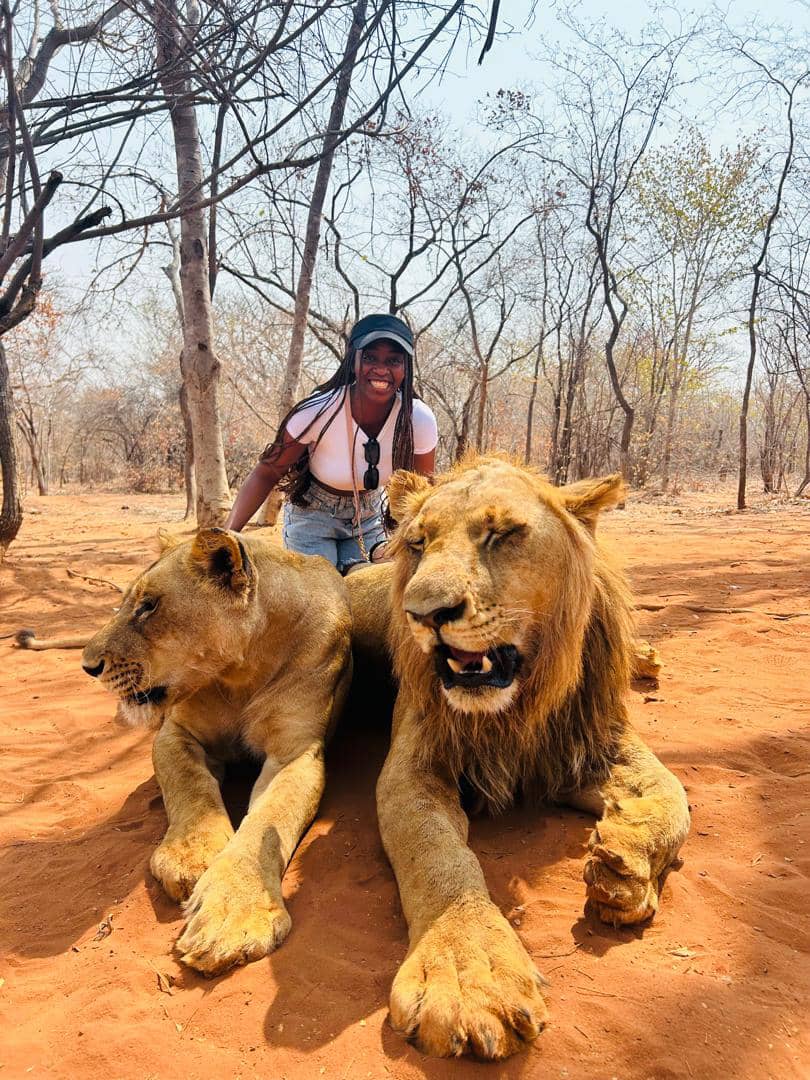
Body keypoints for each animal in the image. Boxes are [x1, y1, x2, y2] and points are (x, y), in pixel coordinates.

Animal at [80, 527, 352, 976]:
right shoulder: (176, 733)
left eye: (148, 606)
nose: (87, 667)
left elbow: (268, 822)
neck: (242, 672)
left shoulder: (296, 754)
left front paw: (234, 915)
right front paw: (191, 857)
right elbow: (191, 787)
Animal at [346, 456, 690, 1061]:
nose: (423, 612)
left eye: (503, 534)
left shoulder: (596, 740)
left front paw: (623, 866)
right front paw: (468, 972)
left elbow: (675, 796)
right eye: (418, 542)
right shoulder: (414, 768)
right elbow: (437, 856)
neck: (517, 705)